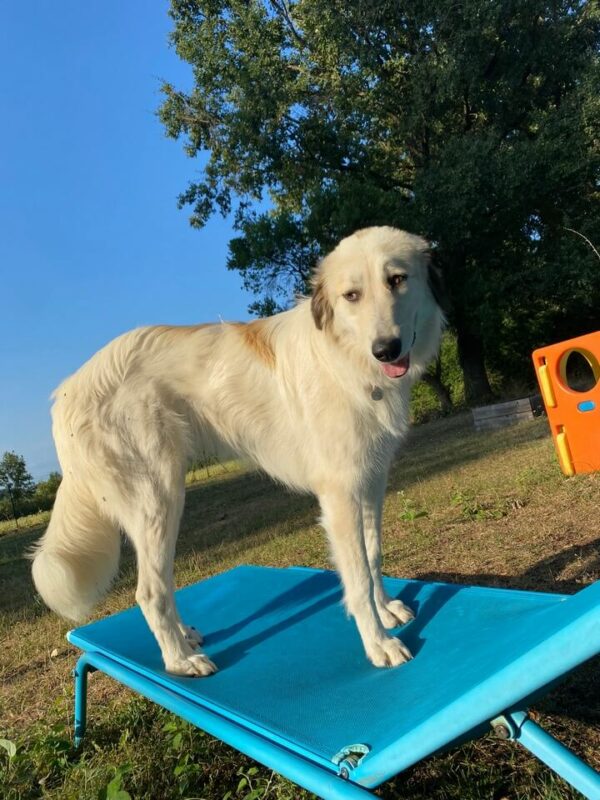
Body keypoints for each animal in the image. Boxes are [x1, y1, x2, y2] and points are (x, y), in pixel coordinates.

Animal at [34, 225, 446, 676]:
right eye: (351, 295)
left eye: (397, 280)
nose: (386, 349)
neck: (346, 358)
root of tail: (65, 391)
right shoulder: (340, 496)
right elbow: (356, 578)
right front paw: (379, 643)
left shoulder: (371, 482)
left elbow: (373, 556)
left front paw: (386, 610)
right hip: (158, 500)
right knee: (149, 591)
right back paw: (180, 661)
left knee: (163, 582)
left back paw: (185, 637)